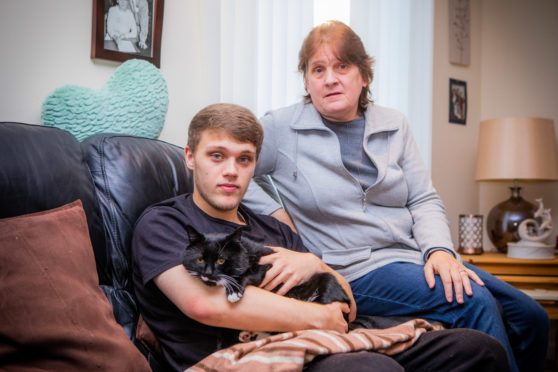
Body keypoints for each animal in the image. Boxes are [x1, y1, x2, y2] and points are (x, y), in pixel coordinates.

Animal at [184, 227, 350, 308]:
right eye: (200, 259)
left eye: (221, 260)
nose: (207, 273)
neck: (246, 252)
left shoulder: (267, 265)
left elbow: (250, 274)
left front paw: (234, 290)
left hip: (327, 280)